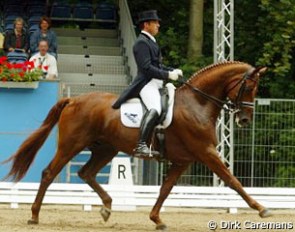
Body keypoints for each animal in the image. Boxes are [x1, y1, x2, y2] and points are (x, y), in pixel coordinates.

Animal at [3, 60, 270, 230]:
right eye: (249, 86)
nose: (245, 120)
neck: (198, 103)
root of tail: (72, 100)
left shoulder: (183, 160)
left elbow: (165, 189)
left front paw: (156, 219)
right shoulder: (206, 152)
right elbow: (232, 180)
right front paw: (261, 208)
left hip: (106, 149)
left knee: (86, 173)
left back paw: (107, 208)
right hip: (72, 145)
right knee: (49, 173)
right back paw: (34, 215)